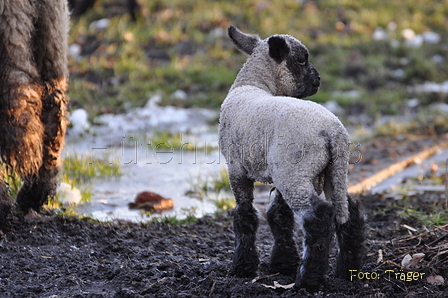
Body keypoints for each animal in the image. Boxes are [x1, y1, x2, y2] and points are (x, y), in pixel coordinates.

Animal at [219, 26, 366, 292]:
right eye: (301, 60)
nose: (318, 80)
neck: (252, 85)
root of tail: (334, 132)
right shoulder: (276, 173)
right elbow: (279, 215)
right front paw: (283, 263)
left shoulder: (236, 168)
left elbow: (244, 216)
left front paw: (242, 267)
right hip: (327, 172)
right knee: (349, 212)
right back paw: (347, 271)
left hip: (294, 172)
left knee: (318, 217)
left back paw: (308, 280)